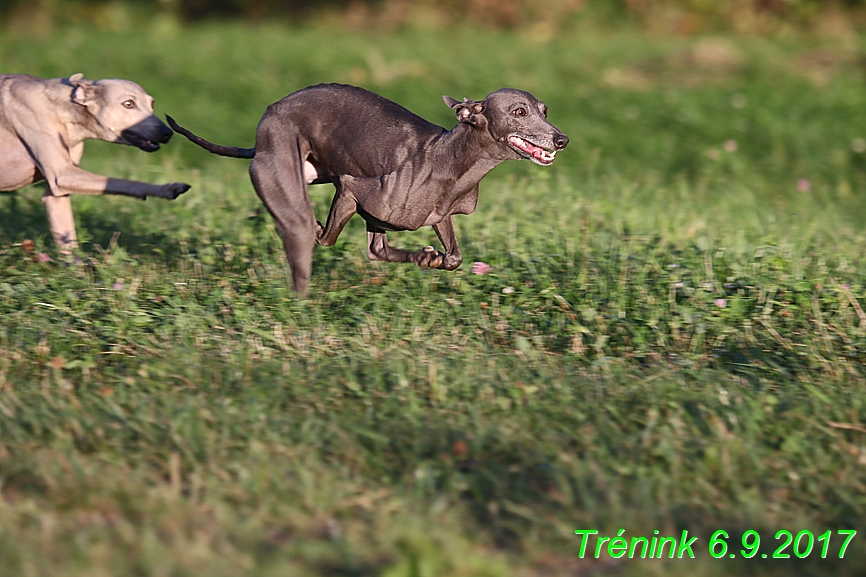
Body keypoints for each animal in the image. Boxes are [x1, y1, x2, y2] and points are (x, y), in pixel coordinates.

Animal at [0, 72, 190, 248]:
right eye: (128, 103)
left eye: (152, 104)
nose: (167, 133)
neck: (62, 108)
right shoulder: (62, 175)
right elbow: (120, 182)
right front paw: (168, 189)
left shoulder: (55, 194)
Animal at [168, 83, 568, 294]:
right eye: (519, 112)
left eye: (544, 109)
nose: (561, 139)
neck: (448, 160)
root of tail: (261, 132)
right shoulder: (350, 188)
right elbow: (328, 235)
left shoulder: (437, 214)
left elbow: (453, 256)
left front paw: (431, 258)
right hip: (293, 187)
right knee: (307, 233)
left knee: (376, 248)